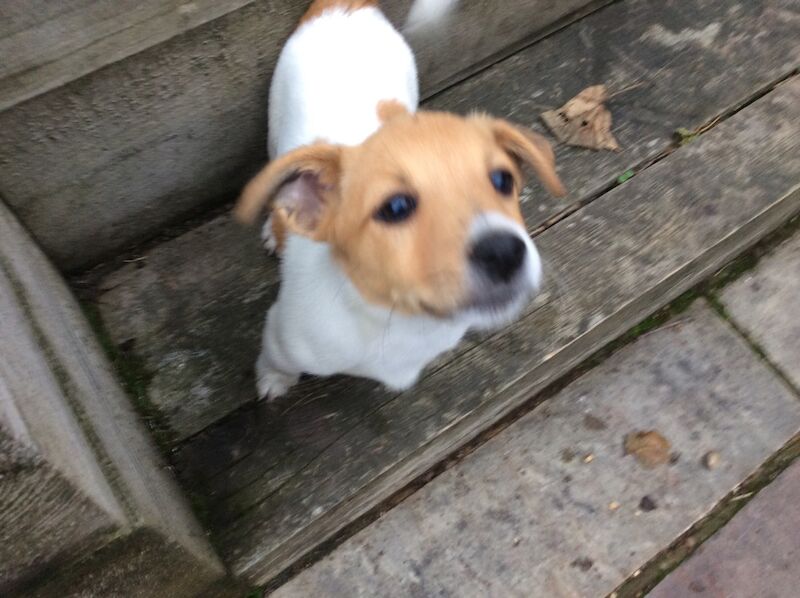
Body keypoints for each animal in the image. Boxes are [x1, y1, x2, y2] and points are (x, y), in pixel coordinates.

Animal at [234, 2, 564, 404]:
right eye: (395, 208)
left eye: (503, 180)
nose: (503, 251)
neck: (395, 321)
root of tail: (345, 6)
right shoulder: (280, 336)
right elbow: (276, 364)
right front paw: (273, 382)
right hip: (275, 127)